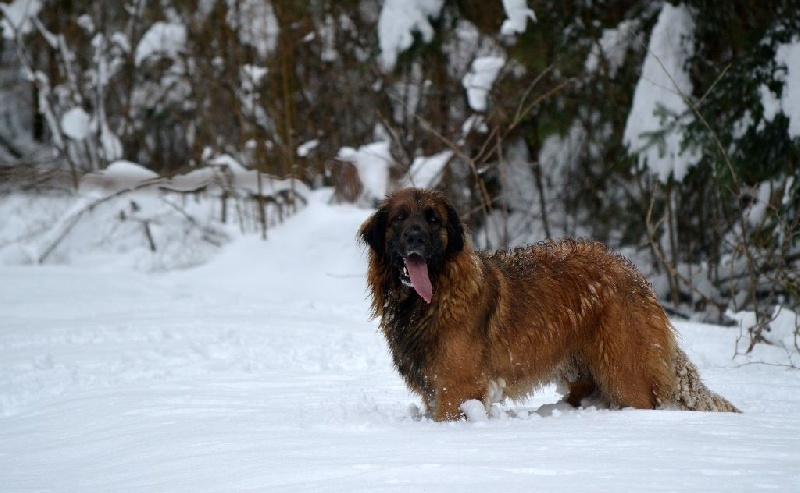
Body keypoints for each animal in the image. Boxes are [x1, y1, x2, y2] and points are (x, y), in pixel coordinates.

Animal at [360, 187, 740, 418]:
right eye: (399, 218)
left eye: (432, 219)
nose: (415, 238)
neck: (428, 301)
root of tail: (636, 276)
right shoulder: (435, 390)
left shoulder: (456, 390)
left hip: (624, 373)